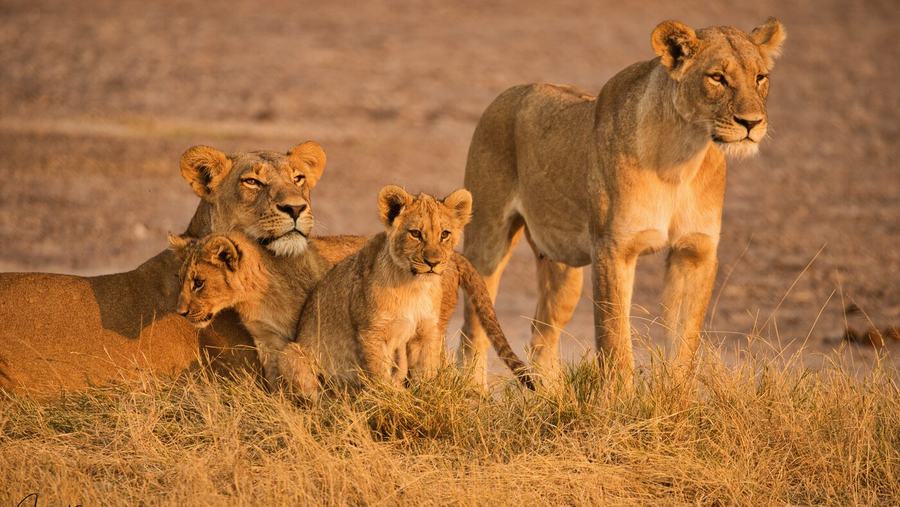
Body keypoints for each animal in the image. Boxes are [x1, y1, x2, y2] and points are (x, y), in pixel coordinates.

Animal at [457, 19, 786, 386]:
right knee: (474, 327)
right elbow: (616, 341)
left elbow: (684, 343)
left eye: (760, 77)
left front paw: (677, 396)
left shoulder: (695, 252)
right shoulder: (614, 249)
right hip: (488, 240)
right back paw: (473, 390)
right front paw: (620, 398)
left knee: (542, 337)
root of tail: (509, 93)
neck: (681, 159)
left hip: (563, 270)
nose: (751, 123)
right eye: (717, 77)